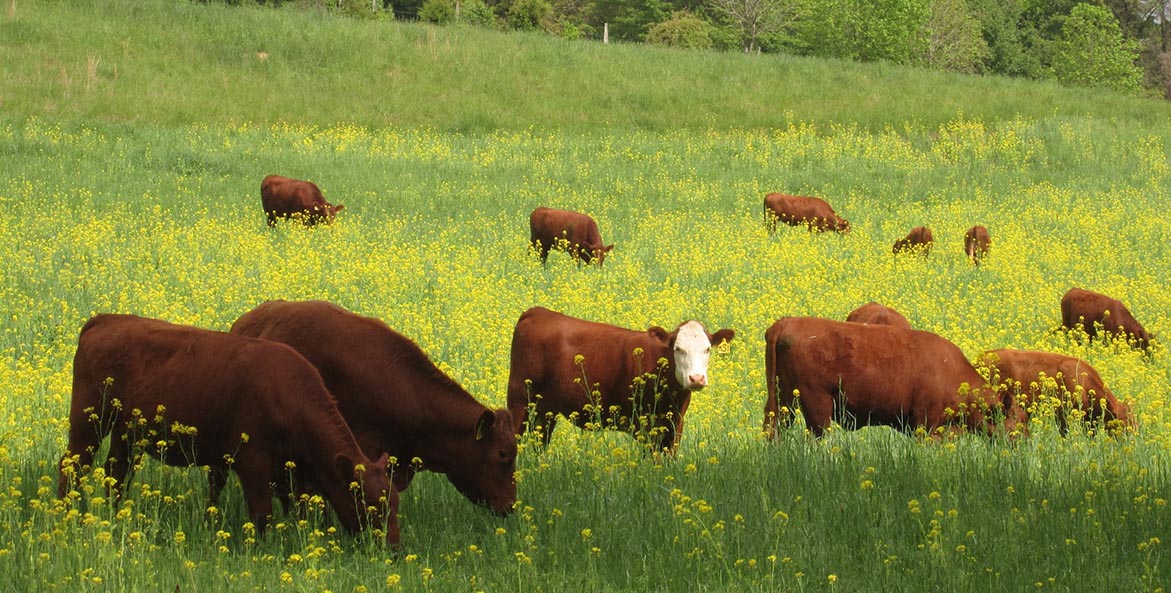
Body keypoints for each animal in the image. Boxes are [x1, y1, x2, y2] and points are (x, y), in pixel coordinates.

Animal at [58, 314, 399, 546]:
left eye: (394, 502)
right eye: (369, 504)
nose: (393, 548)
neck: (288, 393)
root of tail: (106, 319)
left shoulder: (289, 467)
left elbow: (296, 505)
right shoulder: (252, 460)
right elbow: (262, 512)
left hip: (125, 434)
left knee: (115, 473)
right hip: (89, 422)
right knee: (72, 464)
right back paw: (64, 512)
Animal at [507, 307, 735, 452]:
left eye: (707, 349)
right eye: (678, 349)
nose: (696, 378)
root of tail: (537, 312)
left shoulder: (676, 425)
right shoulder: (646, 424)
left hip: (545, 410)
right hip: (520, 401)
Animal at [763, 317, 1020, 439]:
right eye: (1017, 421)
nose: (1022, 443)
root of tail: (785, 323)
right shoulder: (927, 424)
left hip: (782, 402)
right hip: (816, 406)